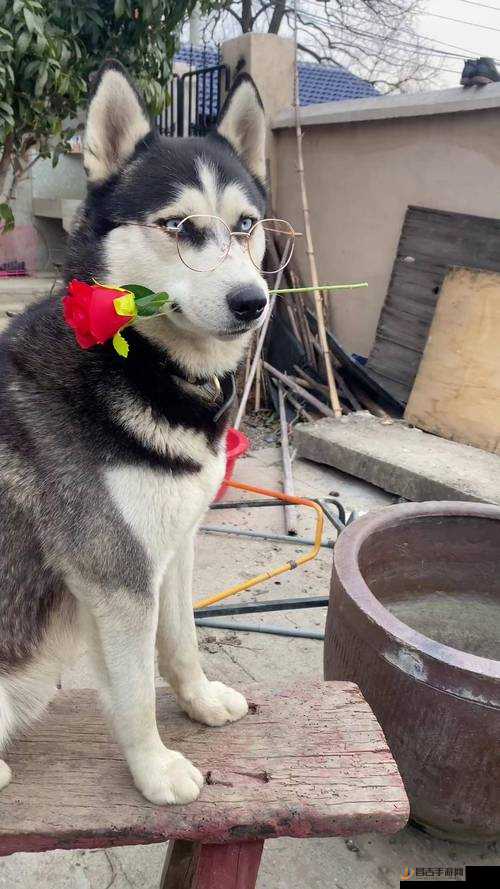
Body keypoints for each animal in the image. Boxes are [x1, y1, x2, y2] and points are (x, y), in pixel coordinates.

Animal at [0, 62, 270, 804]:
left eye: (245, 225)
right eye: (179, 226)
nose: (254, 301)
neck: (135, 361)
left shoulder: (173, 546)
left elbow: (181, 642)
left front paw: (199, 701)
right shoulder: (118, 573)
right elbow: (133, 694)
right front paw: (155, 768)